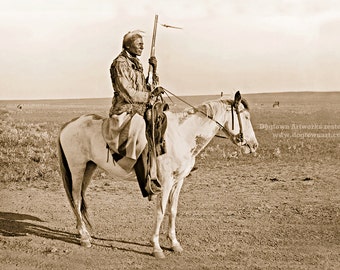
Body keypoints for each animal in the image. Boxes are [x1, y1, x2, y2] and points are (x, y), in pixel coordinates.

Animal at [57, 92, 258, 258]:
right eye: (246, 116)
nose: (254, 145)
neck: (183, 135)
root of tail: (67, 125)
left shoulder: (178, 181)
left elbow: (173, 210)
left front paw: (174, 244)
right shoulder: (166, 181)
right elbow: (160, 211)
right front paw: (156, 247)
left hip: (89, 168)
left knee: (79, 198)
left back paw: (82, 232)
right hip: (77, 168)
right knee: (76, 197)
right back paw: (84, 237)